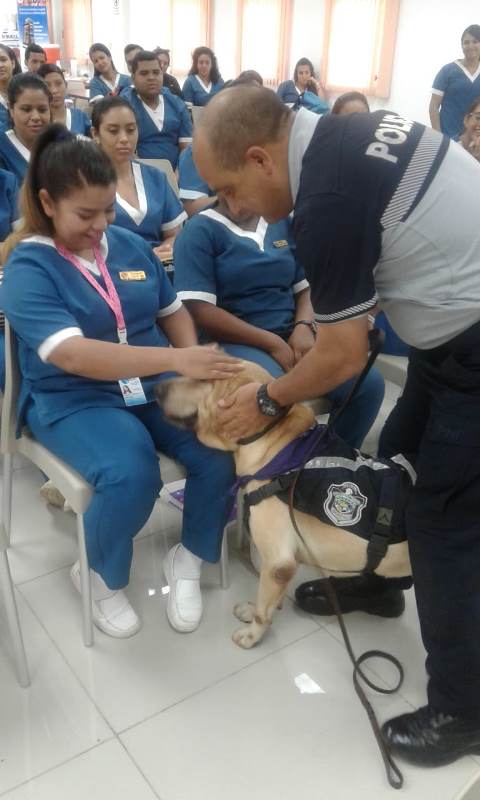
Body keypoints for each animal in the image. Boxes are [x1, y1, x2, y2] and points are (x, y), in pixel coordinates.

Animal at [156, 362, 412, 649]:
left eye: (203, 379)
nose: (156, 388)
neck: (272, 446)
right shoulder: (283, 562)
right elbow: (270, 600)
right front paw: (256, 610)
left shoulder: (278, 561)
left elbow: (263, 608)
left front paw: (252, 635)